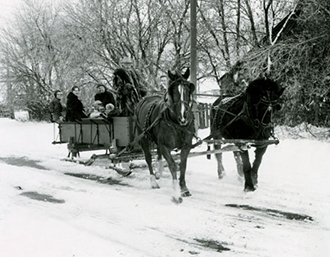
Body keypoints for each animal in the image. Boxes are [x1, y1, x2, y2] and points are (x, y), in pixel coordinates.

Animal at [135, 68, 196, 202]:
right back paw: (153, 181)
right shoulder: (164, 146)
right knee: (148, 158)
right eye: (173, 90)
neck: (177, 123)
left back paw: (159, 172)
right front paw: (176, 193)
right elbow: (172, 165)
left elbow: (183, 165)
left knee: (158, 155)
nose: (183, 117)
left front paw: (184, 188)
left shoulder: (186, 146)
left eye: (188, 89)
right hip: (142, 137)